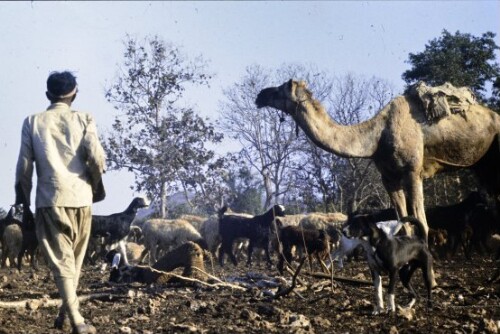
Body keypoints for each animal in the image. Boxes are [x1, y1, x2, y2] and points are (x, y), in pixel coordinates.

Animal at [256, 79, 500, 239]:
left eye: (280, 89)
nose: (260, 95)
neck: (377, 135)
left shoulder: (413, 172)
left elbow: (421, 222)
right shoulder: (389, 178)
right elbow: (404, 223)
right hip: (483, 164)